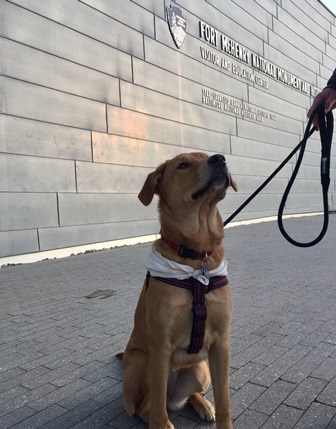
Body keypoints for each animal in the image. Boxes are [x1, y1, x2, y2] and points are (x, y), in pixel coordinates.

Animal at [121, 152, 236, 426]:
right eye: (183, 165)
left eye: (208, 155)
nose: (220, 158)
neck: (196, 256)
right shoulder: (160, 346)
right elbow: (158, 415)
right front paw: (162, 424)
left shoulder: (221, 344)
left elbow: (225, 403)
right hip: (141, 361)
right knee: (147, 407)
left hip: (200, 369)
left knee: (181, 398)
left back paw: (203, 404)